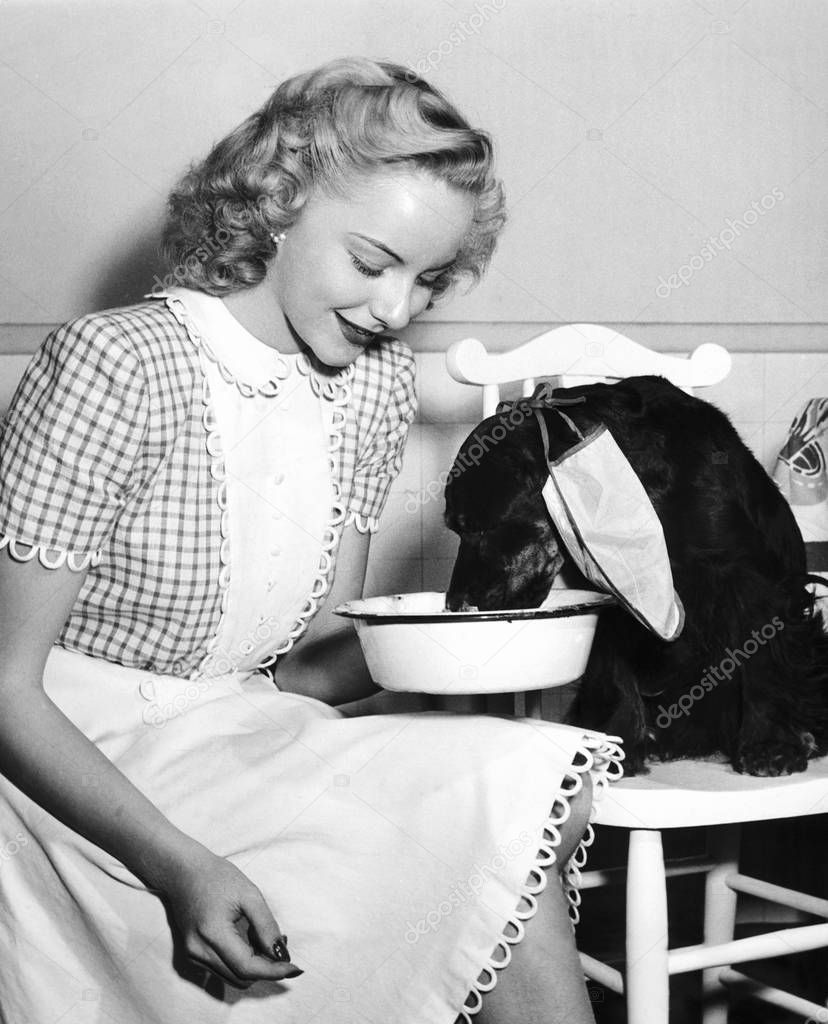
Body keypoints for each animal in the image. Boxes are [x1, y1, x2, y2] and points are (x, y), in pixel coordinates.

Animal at [446, 376, 826, 774]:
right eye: (457, 529)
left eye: (481, 529)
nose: (455, 604)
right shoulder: (614, 591)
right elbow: (616, 674)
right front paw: (617, 746)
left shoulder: (749, 579)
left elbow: (762, 660)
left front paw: (771, 745)